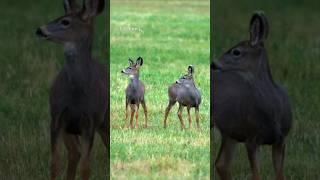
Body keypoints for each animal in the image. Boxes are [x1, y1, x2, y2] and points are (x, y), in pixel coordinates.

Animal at [34, 0, 107, 180]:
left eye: (65, 22)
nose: (39, 30)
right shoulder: (57, 117)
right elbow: (54, 163)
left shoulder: (90, 122)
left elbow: (86, 168)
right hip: (70, 129)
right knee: (75, 153)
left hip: (104, 121)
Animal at [212, 11, 292, 180]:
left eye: (236, 51)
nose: (213, 64)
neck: (273, 111)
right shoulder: (251, 137)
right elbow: (256, 175)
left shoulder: (281, 139)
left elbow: (280, 175)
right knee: (222, 163)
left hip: (231, 131)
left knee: (221, 163)